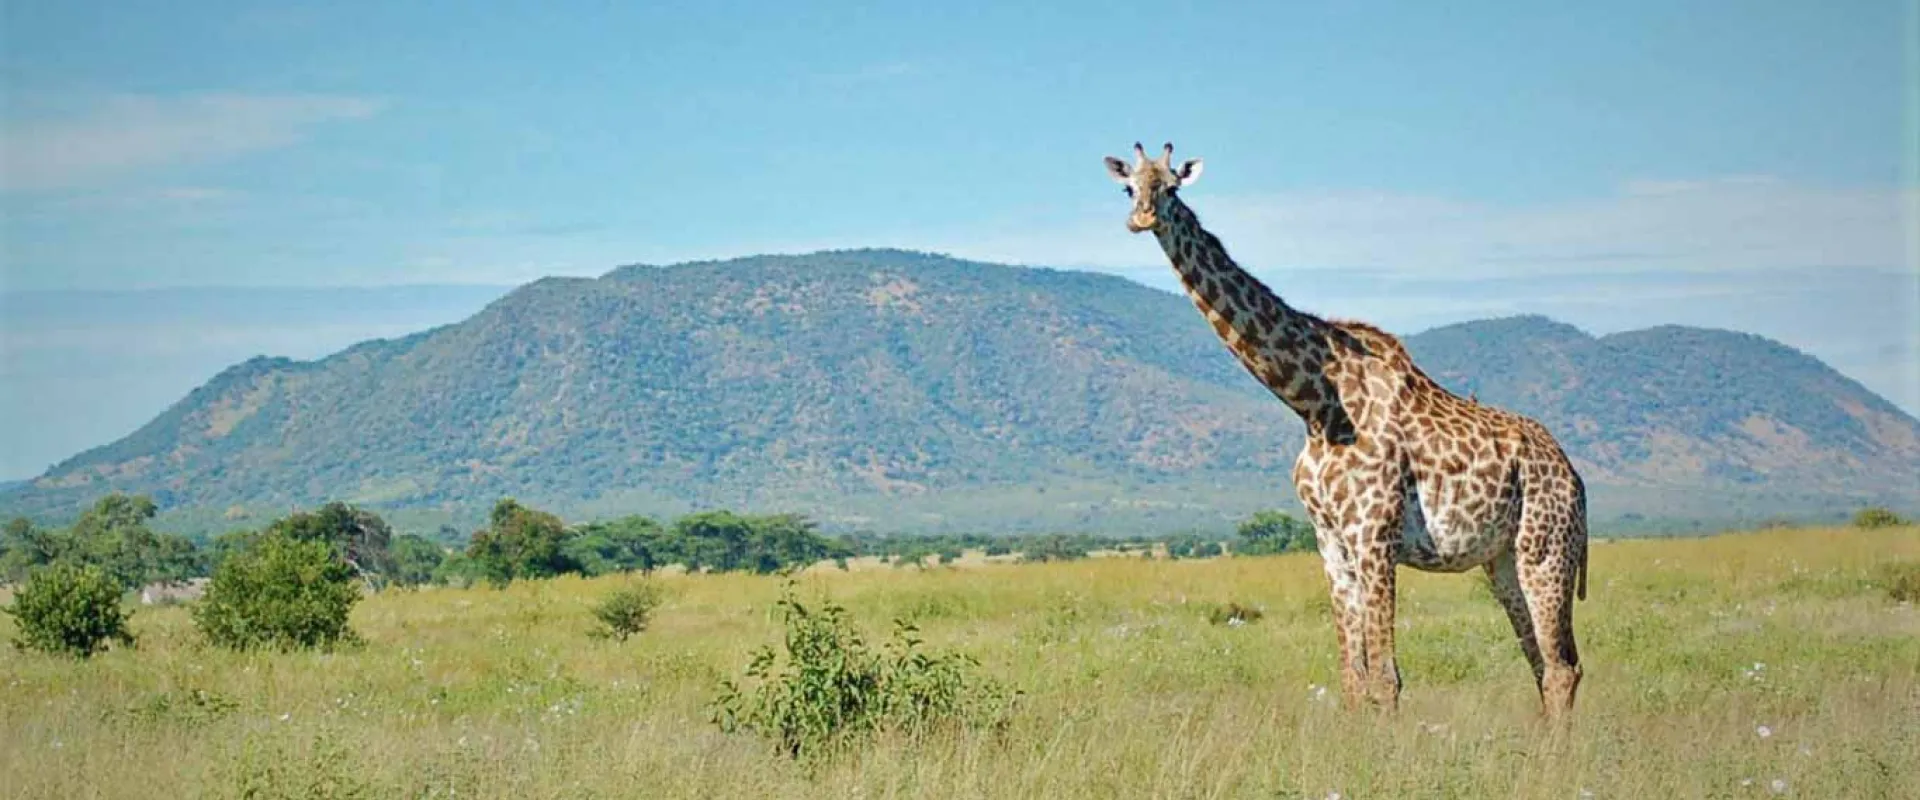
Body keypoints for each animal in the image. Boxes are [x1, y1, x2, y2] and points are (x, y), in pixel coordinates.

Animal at [1103, 142, 1591, 717]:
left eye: (1172, 186)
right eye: (1129, 187)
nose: (1142, 218)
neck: (1316, 403)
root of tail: (1575, 477)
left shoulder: (1374, 535)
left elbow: (1386, 677)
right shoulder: (1331, 542)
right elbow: (1352, 679)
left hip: (1546, 548)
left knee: (1560, 667)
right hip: (1503, 560)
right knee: (1545, 663)